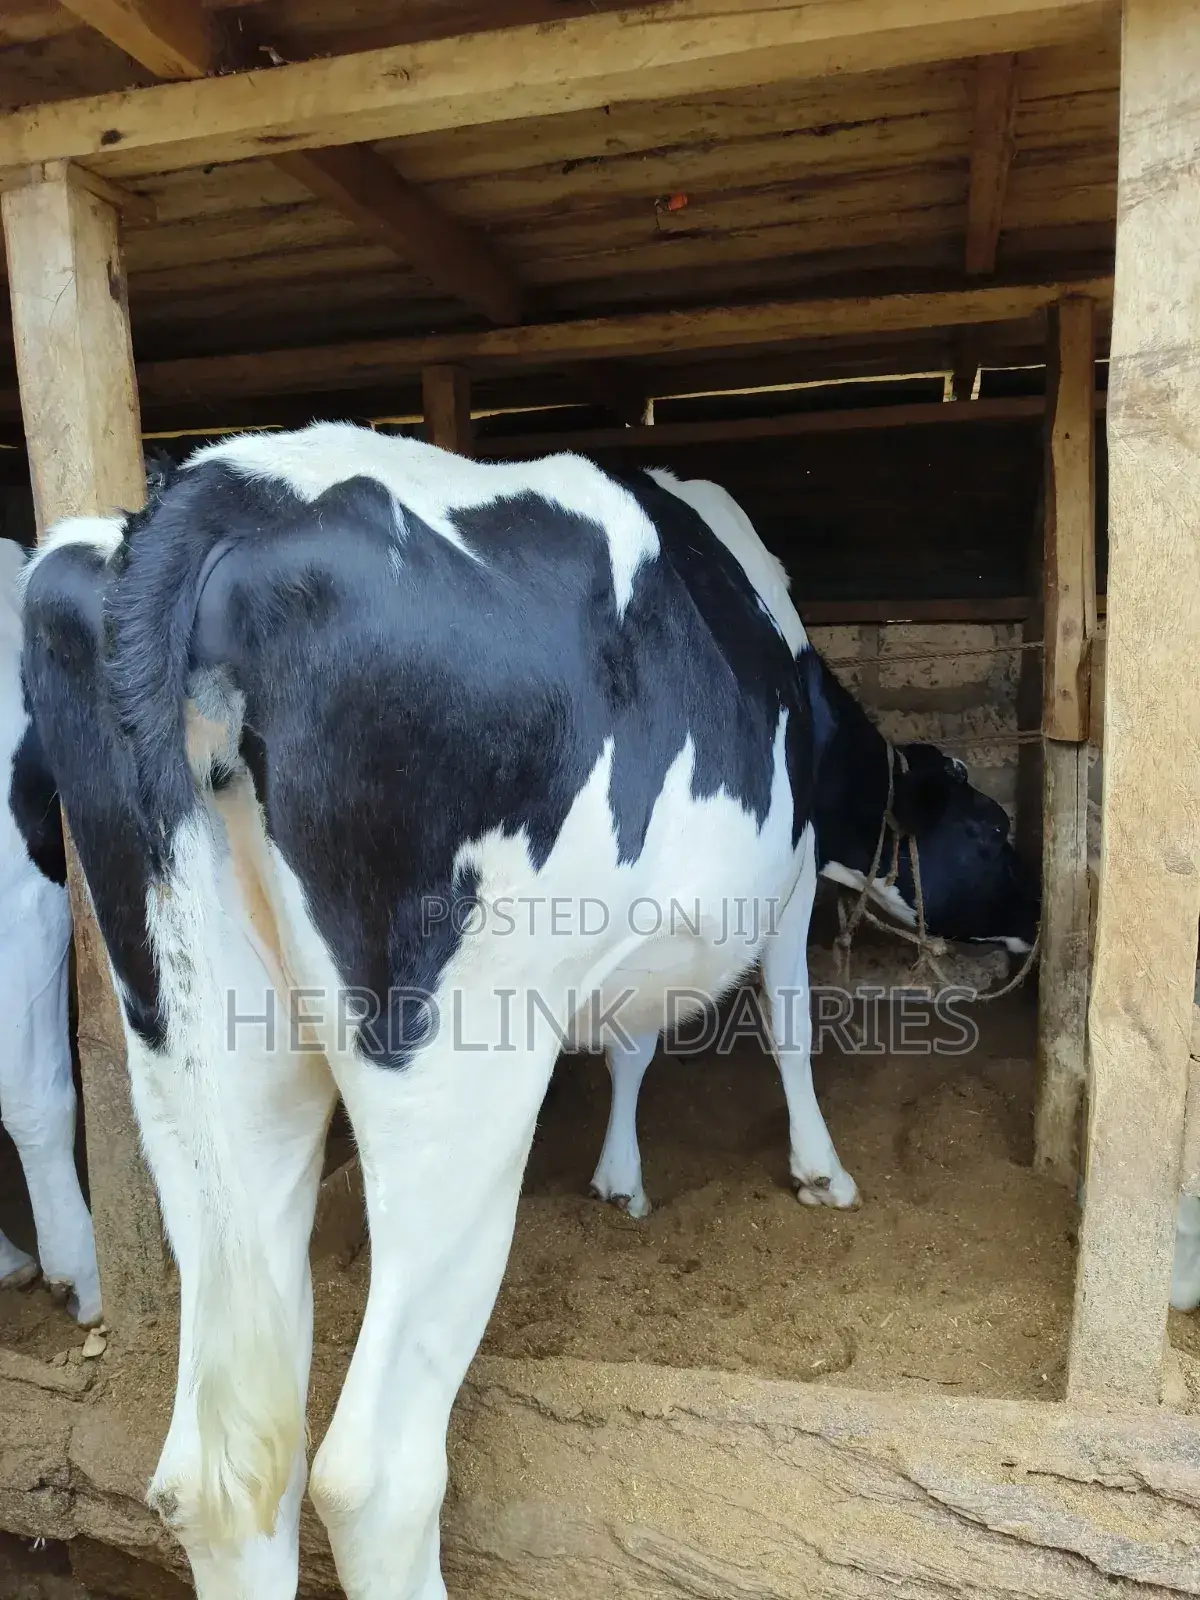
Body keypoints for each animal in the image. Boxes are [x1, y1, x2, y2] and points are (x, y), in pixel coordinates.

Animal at [586, 472, 1040, 1220]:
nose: (1039, 909)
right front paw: (821, 1171)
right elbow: (790, 1022)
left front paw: (619, 1176)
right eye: (990, 830)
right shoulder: (782, 876)